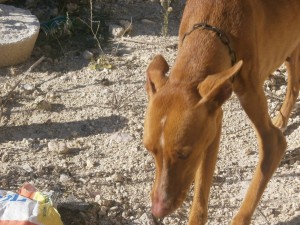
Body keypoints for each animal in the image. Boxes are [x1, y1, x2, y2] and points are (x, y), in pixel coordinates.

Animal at [142, 0, 300, 224]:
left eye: (184, 154)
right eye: (149, 149)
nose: (157, 211)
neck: (212, 26)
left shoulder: (258, 116)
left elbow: (273, 143)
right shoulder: (213, 119)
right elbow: (200, 194)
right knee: (294, 85)